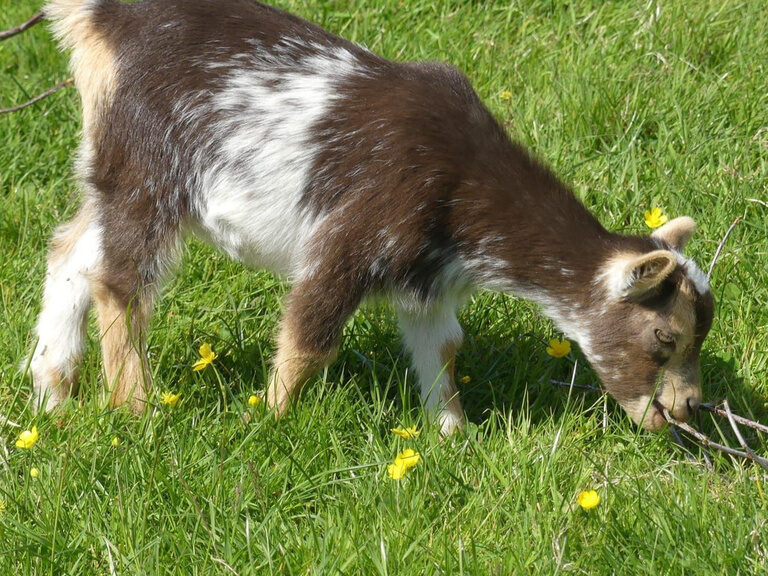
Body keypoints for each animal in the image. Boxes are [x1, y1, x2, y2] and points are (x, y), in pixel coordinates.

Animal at [32, 0, 714, 434]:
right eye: (664, 337)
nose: (683, 411)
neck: (465, 177)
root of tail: (103, 17)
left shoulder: (427, 278)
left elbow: (444, 346)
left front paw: (453, 435)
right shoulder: (354, 237)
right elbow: (310, 335)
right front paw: (267, 422)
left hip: (109, 167)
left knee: (71, 253)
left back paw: (51, 392)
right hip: (150, 167)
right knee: (120, 282)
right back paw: (136, 409)